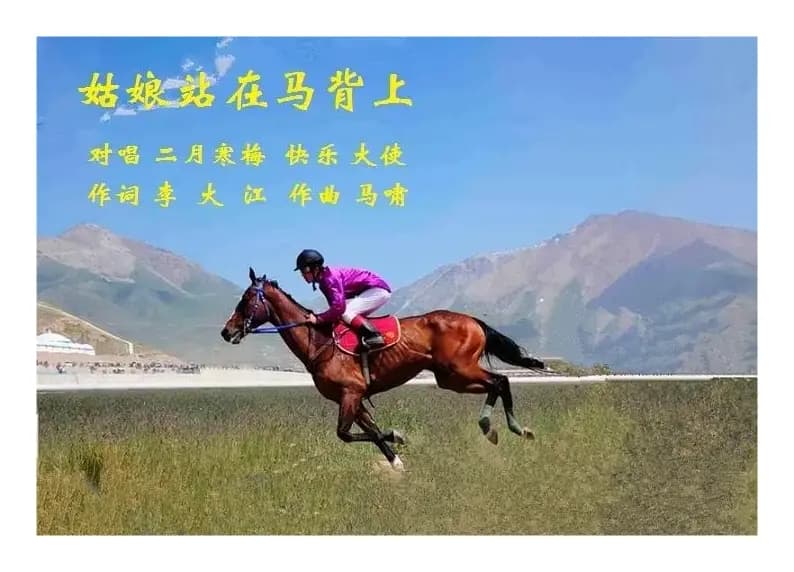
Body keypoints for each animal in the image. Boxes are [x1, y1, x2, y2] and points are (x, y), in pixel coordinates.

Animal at [221, 267, 546, 471]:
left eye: (246, 299)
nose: (226, 331)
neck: (319, 342)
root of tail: (473, 320)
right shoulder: (350, 398)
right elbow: (372, 432)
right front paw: (397, 461)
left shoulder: (351, 392)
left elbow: (345, 434)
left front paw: (399, 437)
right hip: (450, 378)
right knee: (497, 383)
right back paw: (500, 429)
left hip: (460, 369)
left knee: (500, 381)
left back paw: (509, 428)